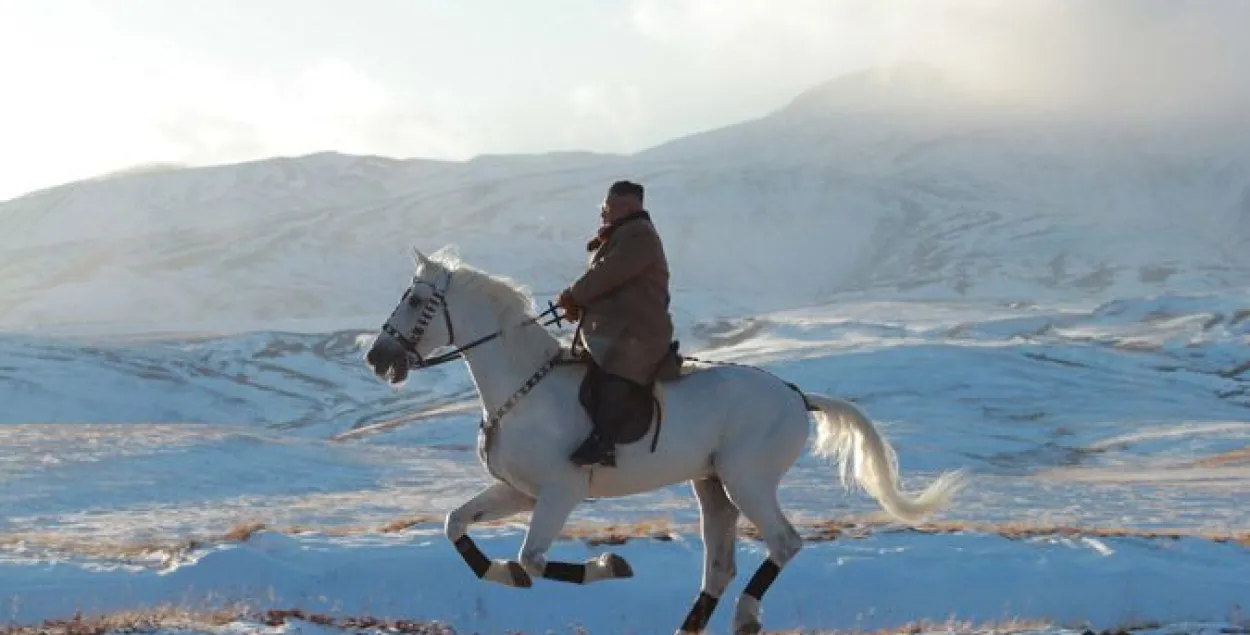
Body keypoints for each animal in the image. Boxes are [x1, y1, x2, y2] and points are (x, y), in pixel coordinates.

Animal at [362, 246, 965, 635]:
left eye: (414, 300)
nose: (376, 357)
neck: (523, 386)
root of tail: (798, 396)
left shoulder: (559, 492)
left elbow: (533, 559)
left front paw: (611, 565)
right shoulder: (520, 492)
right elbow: (456, 525)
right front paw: (501, 574)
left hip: (747, 480)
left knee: (784, 543)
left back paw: (746, 616)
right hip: (713, 487)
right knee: (720, 567)